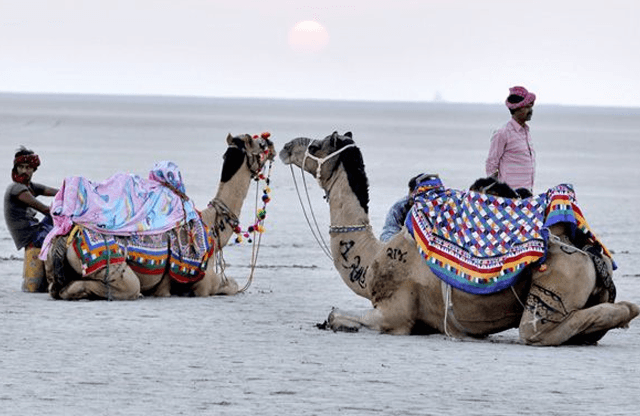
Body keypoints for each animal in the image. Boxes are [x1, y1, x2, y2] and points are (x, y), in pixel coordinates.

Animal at [44, 133, 276, 300]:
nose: (272, 144)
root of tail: (68, 236)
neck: (211, 225)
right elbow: (232, 285)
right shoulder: (204, 283)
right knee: (109, 287)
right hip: (110, 268)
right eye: (260, 144)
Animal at [280, 131, 639, 346]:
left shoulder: (396, 314)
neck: (370, 260)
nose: (285, 147)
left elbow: (334, 314)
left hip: (552, 293)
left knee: (542, 329)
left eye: (316, 146)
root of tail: (590, 255)